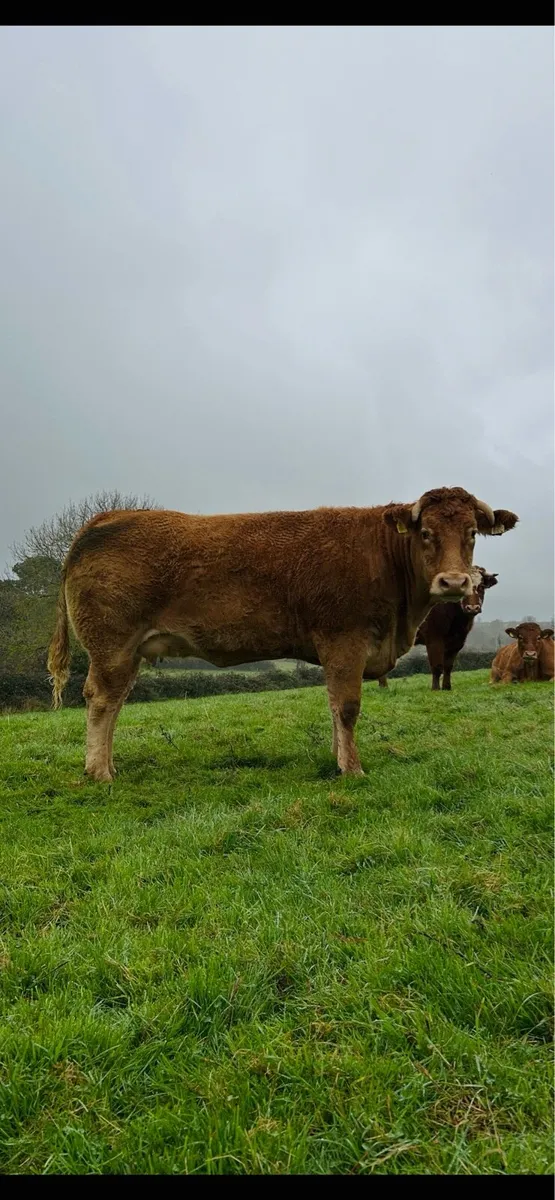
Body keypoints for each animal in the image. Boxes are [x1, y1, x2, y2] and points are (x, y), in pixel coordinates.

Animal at [47, 486, 518, 782]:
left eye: (472, 533)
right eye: (426, 533)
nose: (454, 583)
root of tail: (107, 518)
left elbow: (334, 707)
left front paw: (338, 760)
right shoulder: (344, 640)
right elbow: (347, 707)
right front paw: (353, 769)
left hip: (127, 652)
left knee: (114, 702)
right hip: (112, 646)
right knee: (100, 700)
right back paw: (99, 772)